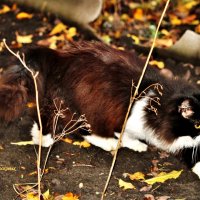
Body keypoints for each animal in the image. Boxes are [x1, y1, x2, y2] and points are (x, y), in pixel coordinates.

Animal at [1, 40, 200, 177]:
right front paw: (134, 143)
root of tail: (60, 55)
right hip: (86, 105)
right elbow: (123, 134)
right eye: (197, 124)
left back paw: (41, 136)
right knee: (81, 128)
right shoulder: (126, 115)